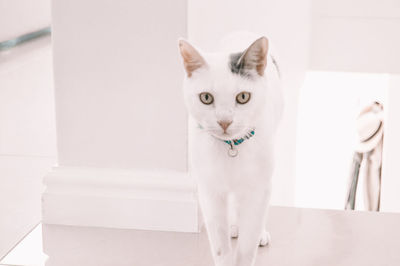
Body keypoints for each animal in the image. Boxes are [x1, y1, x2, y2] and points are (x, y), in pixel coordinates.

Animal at [178, 33, 284, 266]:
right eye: (206, 97)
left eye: (243, 97)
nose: (224, 121)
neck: (232, 147)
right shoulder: (209, 190)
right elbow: (220, 245)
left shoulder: (258, 188)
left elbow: (247, 245)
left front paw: (252, 238)